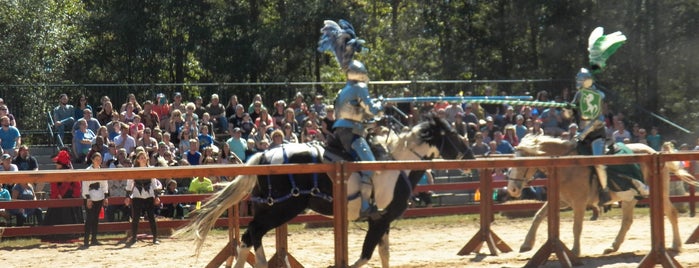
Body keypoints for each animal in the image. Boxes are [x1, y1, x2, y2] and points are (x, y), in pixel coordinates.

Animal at [178, 115, 476, 268]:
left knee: (250, 238)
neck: (394, 163)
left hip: (269, 209)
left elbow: (383, 255)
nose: (471, 156)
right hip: (282, 209)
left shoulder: (384, 221)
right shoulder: (380, 220)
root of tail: (263, 156)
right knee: (251, 235)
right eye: (453, 134)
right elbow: (366, 255)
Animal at [508, 135, 699, 256]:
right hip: (630, 197)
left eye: (522, 163)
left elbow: (577, 227)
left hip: (657, 194)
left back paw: (676, 245)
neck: (567, 165)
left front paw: (575, 251)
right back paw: (612, 247)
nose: (512, 189)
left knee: (672, 213)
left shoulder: (578, 203)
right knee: (627, 221)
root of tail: (655, 151)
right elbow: (538, 216)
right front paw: (527, 244)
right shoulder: (561, 201)